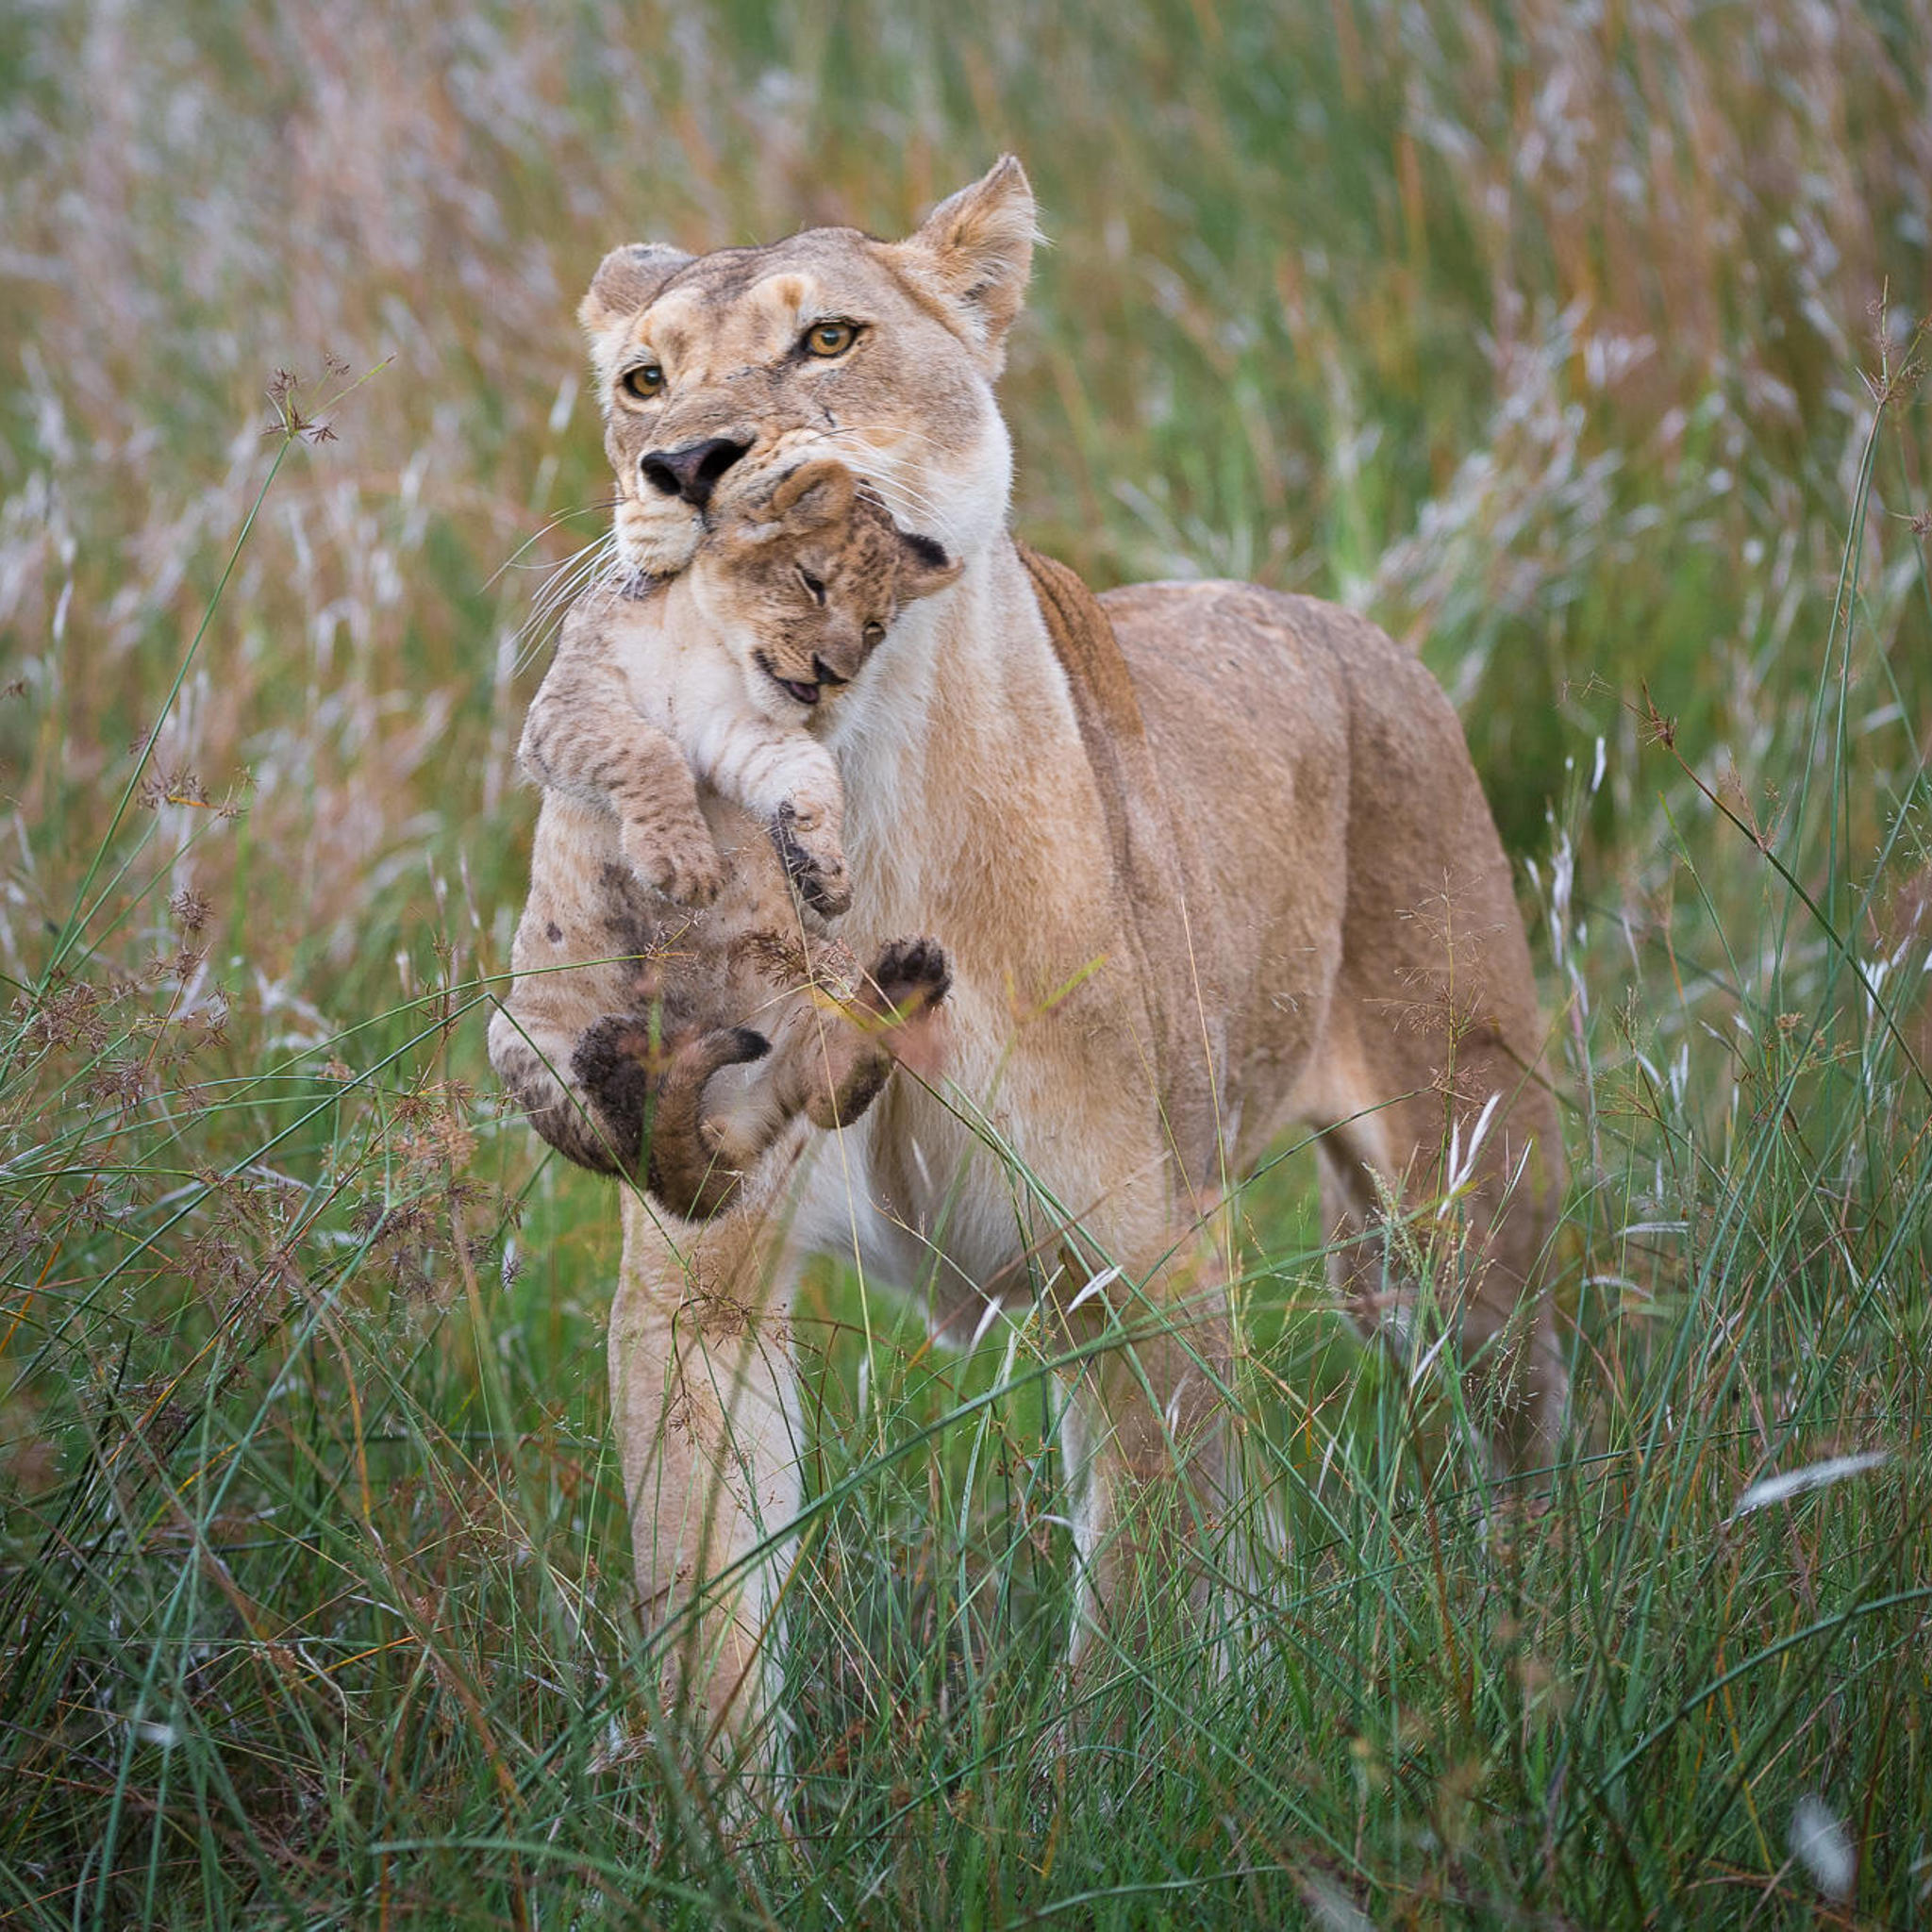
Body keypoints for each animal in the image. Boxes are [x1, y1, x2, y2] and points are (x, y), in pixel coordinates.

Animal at [542, 156, 1568, 1776]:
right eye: (643, 381)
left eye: (829, 341)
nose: (689, 464)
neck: (861, 802)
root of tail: (1351, 628)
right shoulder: (695, 1300)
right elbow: (711, 1641)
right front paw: (730, 1828)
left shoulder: (1140, 1268)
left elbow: (1140, 1622)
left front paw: (1092, 1799)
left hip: (1472, 1197)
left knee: (1520, 1428)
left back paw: (1542, 1651)